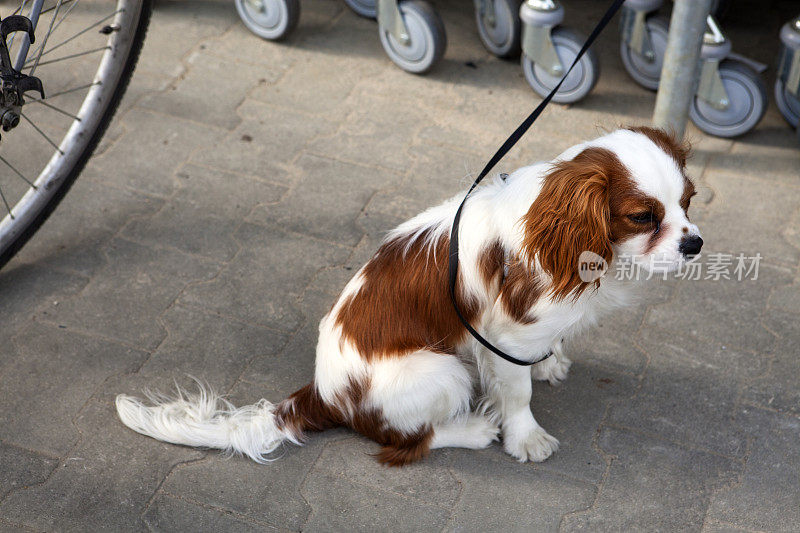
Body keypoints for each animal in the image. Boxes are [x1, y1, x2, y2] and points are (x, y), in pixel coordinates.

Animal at [117, 127, 700, 464]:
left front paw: (548, 363)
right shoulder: (508, 334)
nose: (694, 243)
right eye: (643, 217)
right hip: (442, 371)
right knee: (401, 444)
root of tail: (321, 393)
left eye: (689, 202)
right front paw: (526, 438)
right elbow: (516, 394)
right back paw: (471, 431)